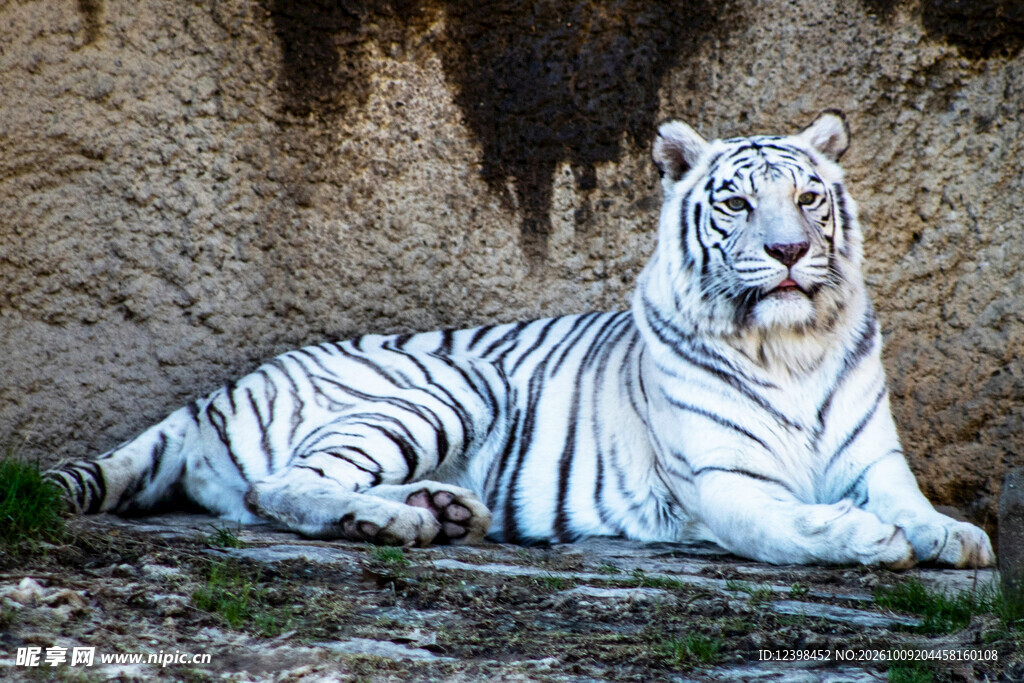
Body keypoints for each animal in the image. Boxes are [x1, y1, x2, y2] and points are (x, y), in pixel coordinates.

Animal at [48, 111, 994, 568]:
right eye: (734, 202)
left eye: (807, 197)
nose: (791, 252)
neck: (790, 345)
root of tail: (212, 395)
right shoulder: (725, 480)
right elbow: (790, 526)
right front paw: (868, 539)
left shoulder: (875, 458)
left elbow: (911, 500)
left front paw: (954, 536)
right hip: (452, 385)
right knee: (279, 487)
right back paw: (394, 521)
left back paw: (439, 509)